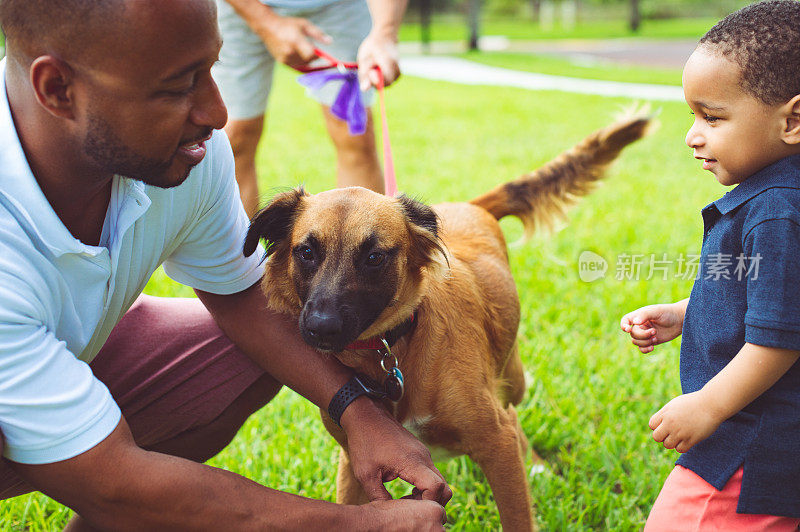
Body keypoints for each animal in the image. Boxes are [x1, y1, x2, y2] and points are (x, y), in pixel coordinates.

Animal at [244, 114, 648, 528]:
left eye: (374, 257)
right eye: (306, 252)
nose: (320, 327)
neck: (391, 350)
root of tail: (468, 205)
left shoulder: (496, 443)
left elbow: (517, 511)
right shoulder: (359, 461)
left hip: (512, 379)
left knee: (513, 412)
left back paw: (535, 464)